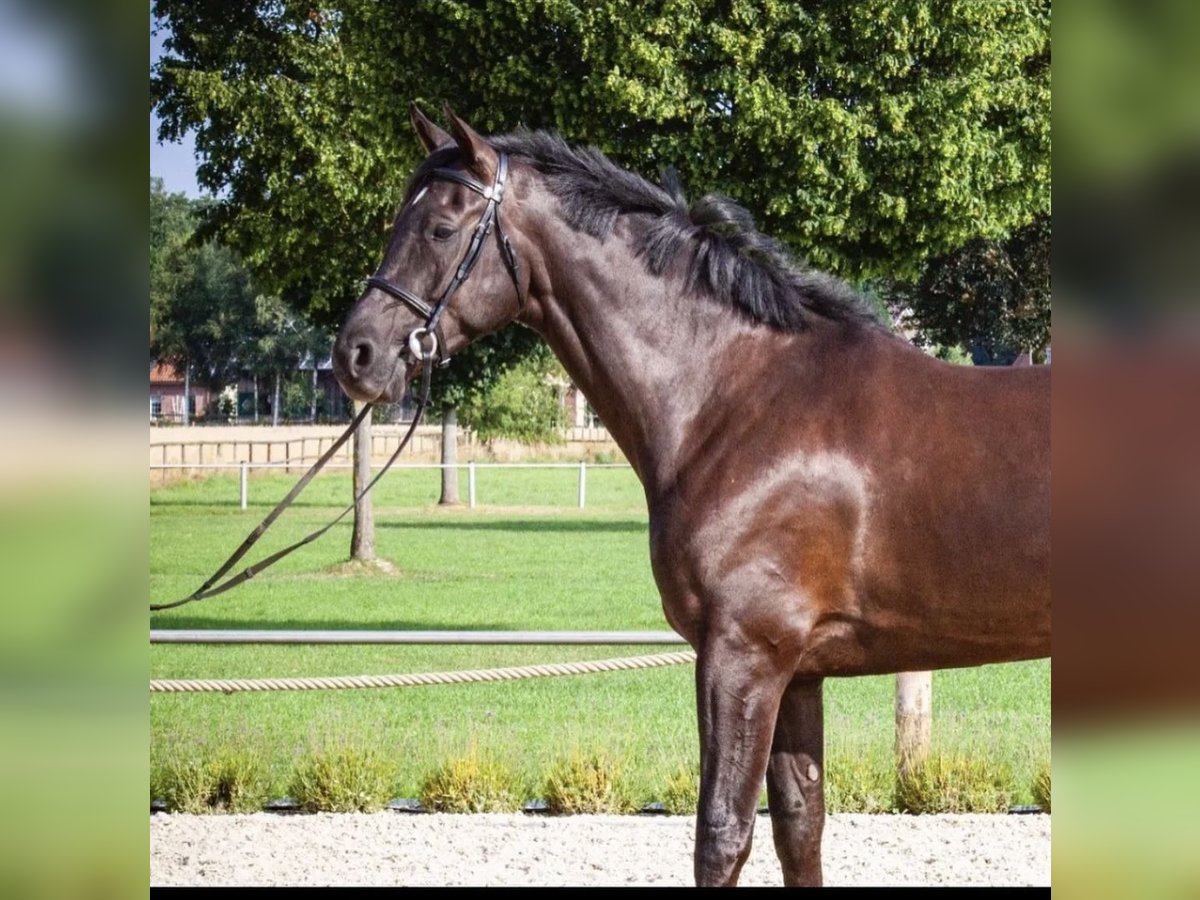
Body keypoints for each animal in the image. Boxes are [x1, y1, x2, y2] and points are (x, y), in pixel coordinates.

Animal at [331, 107, 1051, 888]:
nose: (355, 354)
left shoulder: (743, 655)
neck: (737, 395)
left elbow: (722, 833)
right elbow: (800, 826)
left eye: (439, 228)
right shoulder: (798, 671)